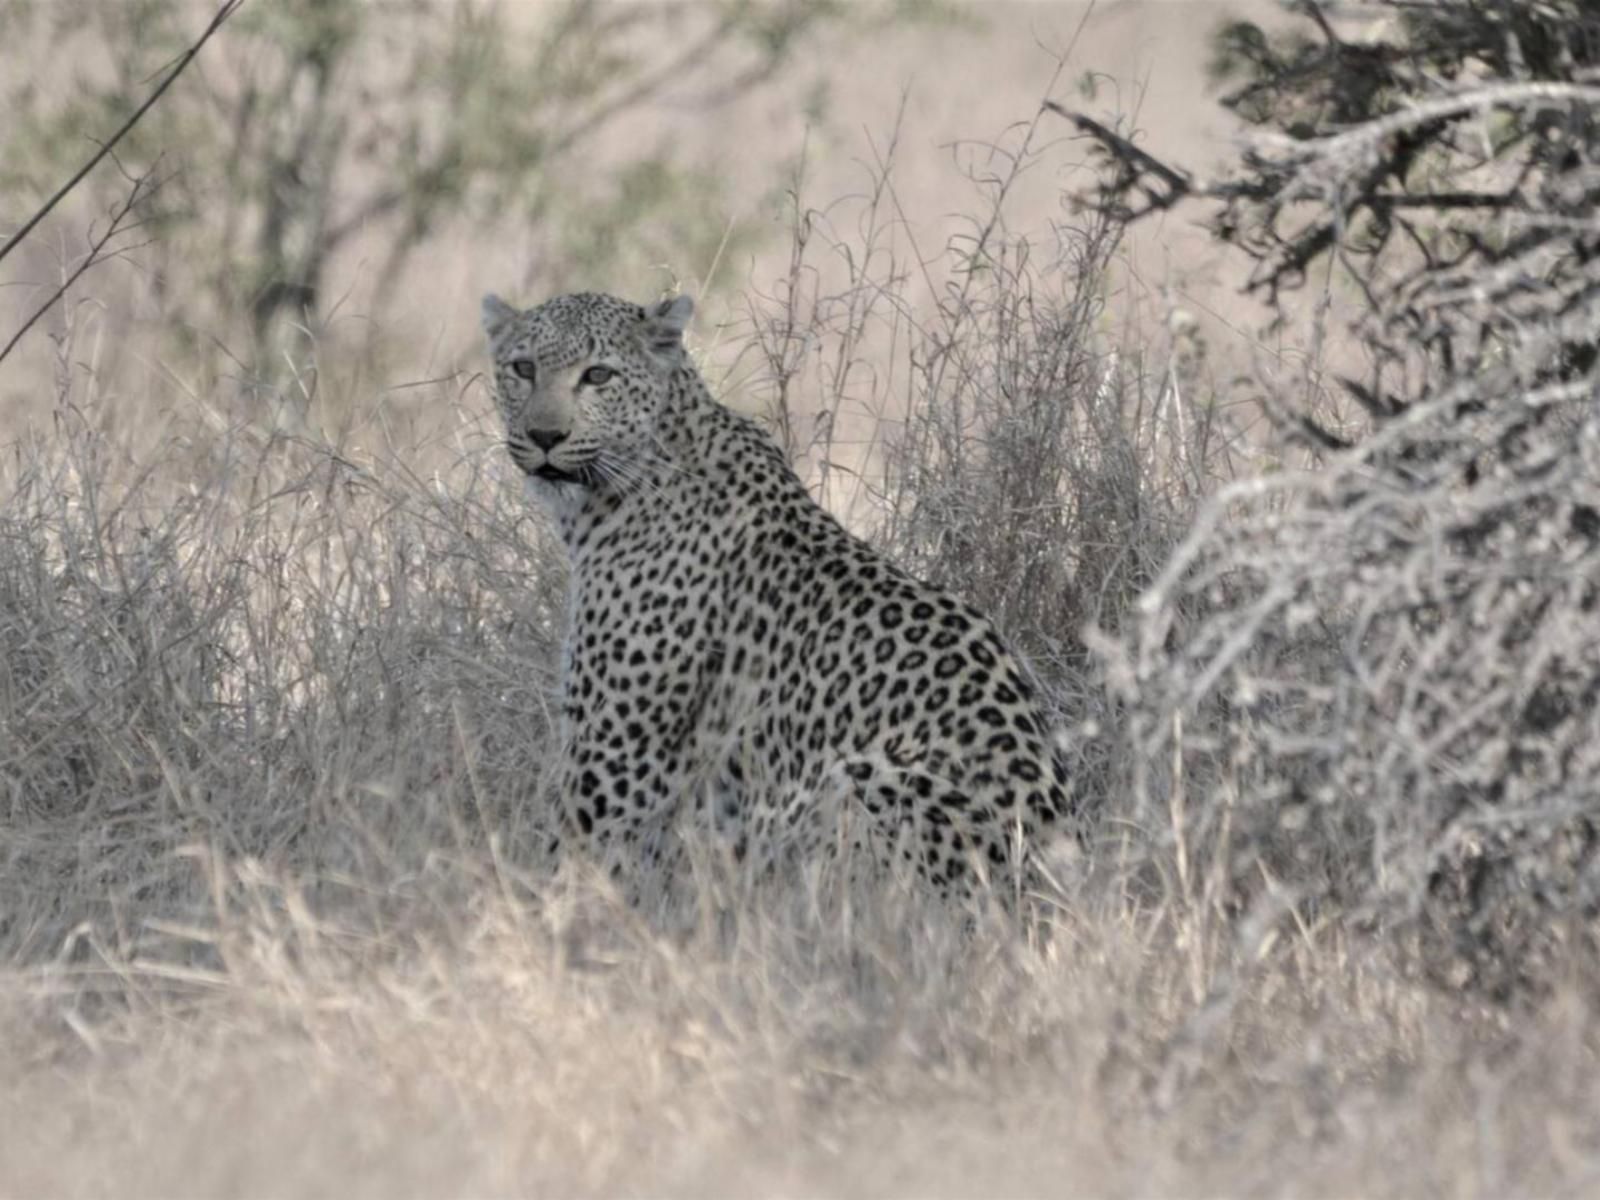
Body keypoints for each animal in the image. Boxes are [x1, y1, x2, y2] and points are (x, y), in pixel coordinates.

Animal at [476, 291, 1088, 908]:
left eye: (598, 375)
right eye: (523, 368)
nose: (544, 436)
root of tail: (1051, 891)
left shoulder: (617, 749)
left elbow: (566, 860)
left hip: (858, 784)